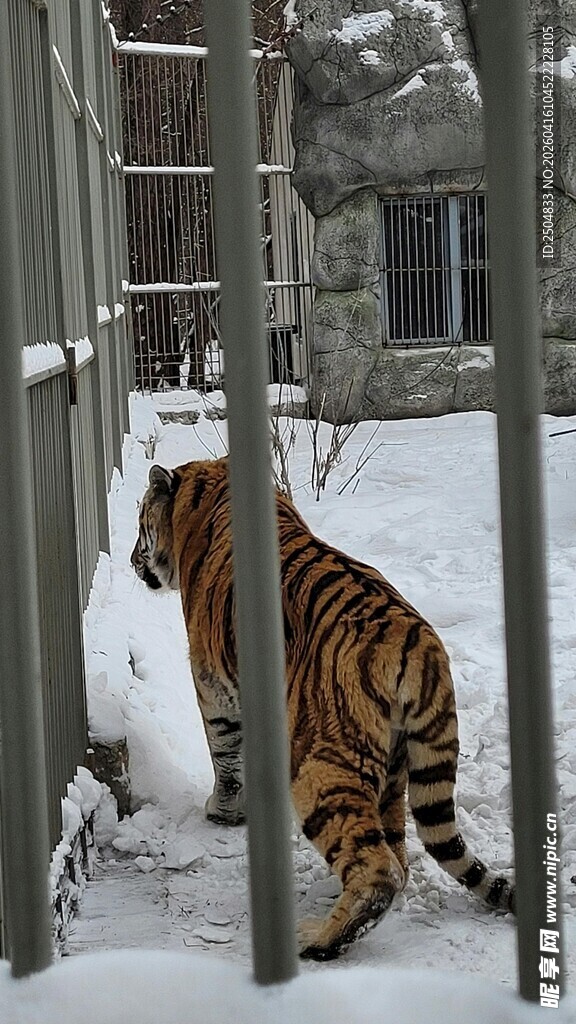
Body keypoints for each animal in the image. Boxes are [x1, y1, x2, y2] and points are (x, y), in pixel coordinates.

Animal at [130, 456, 515, 961]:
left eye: (140, 524)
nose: (132, 561)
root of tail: (420, 644)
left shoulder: (212, 682)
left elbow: (224, 752)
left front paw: (223, 811)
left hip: (320, 764)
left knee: (377, 869)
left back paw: (319, 939)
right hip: (393, 767)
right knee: (396, 854)